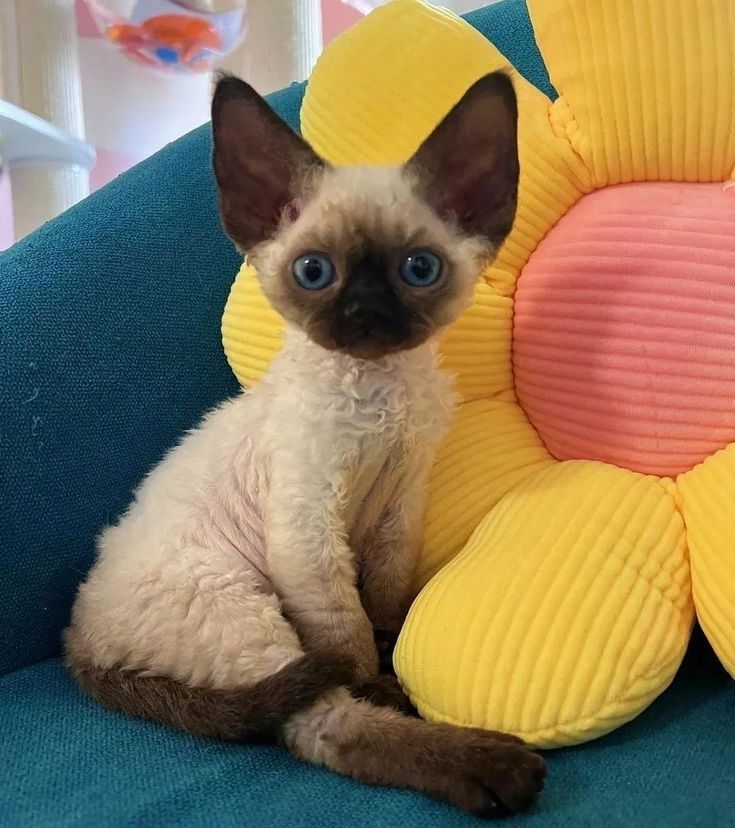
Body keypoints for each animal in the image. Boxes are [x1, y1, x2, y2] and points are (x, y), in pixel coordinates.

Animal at [64, 71, 548, 816]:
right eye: (314, 273)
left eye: (418, 269)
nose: (365, 313)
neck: (378, 396)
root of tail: (77, 641)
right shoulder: (307, 528)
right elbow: (345, 633)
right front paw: (377, 677)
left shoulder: (399, 505)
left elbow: (384, 594)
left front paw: (390, 642)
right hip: (238, 606)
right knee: (322, 727)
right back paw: (493, 769)